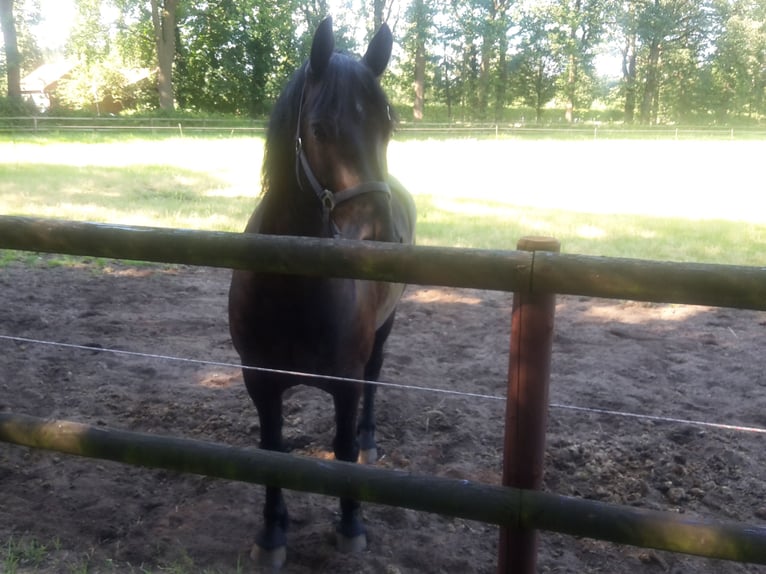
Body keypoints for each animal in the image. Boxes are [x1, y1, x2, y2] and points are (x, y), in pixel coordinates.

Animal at [228, 16, 416, 568]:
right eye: (319, 129)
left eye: (387, 129)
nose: (384, 239)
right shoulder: (258, 379)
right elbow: (272, 451)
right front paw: (272, 533)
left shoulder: (346, 382)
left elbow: (343, 450)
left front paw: (351, 526)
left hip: (385, 330)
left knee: (376, 381)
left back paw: (371, 440)